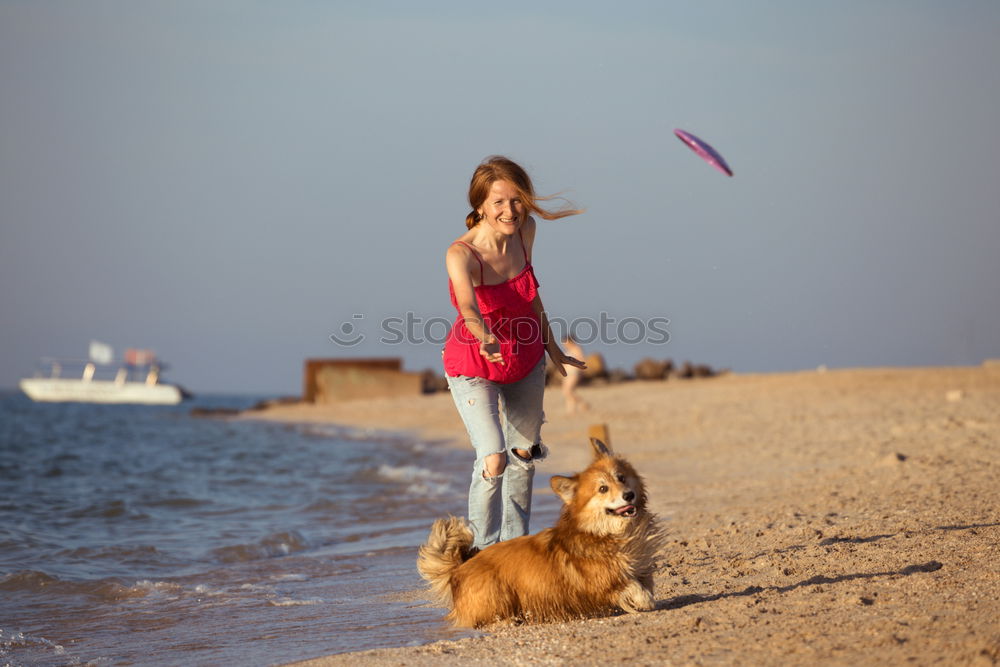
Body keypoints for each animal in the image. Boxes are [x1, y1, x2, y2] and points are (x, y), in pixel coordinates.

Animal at [416, 438, 664, 628]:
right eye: (603, 489)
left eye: (621, 478)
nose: (629, 495)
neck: (604, 533)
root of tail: (458, 569)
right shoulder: (604, 582)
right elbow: (634, 588)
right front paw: (644, 602)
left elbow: (644, 583)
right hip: (496, 591)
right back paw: (508, 621)